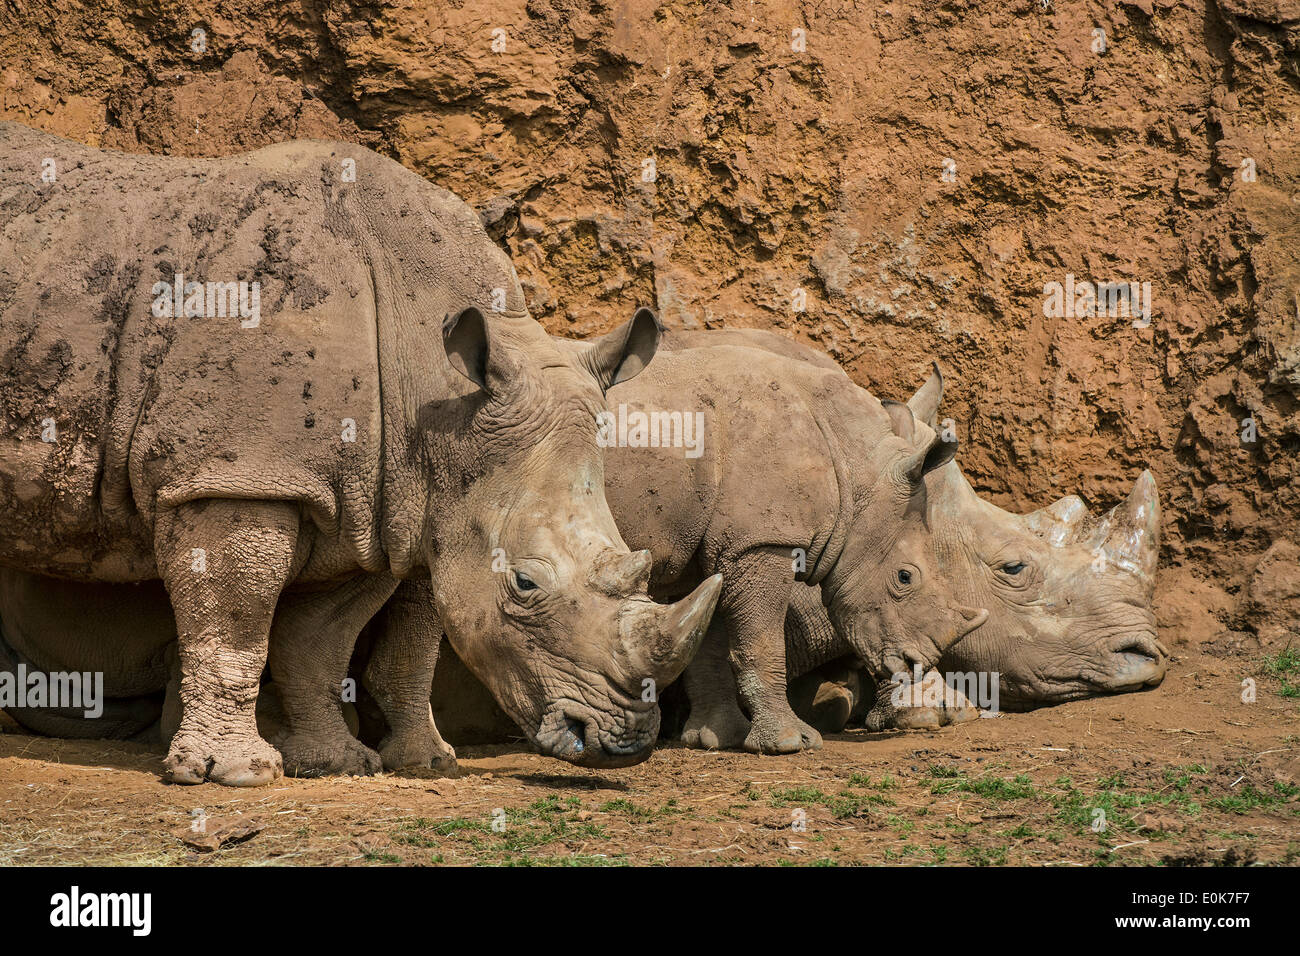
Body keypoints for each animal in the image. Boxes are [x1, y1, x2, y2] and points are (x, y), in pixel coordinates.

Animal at [0, 125, 722, 785]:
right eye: (524, 584)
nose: (625, 743)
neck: (435, 390)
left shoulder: (376, 500)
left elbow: (320, 640)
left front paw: (346, 764)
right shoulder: (236, 474)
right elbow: (235, 627)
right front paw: (234, 774)